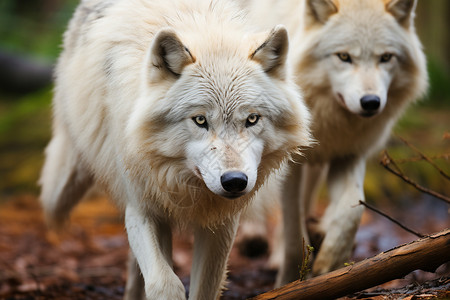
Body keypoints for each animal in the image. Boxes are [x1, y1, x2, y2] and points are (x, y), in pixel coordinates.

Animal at [38, 0, 312, 298]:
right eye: (200, 120)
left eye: (252, 119)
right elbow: (164, 282)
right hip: (65, 183)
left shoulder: (221, 222)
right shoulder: (142, 207)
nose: (234, 181)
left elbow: (204, 285)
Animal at [243, 0, 428, 286]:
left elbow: (352, 211)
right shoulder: (288, 164)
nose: (370, 102)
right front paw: (289, 282)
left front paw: (329, 263)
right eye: (344, 57)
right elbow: (293, 233)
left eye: (386, 58)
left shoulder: (348, 154)